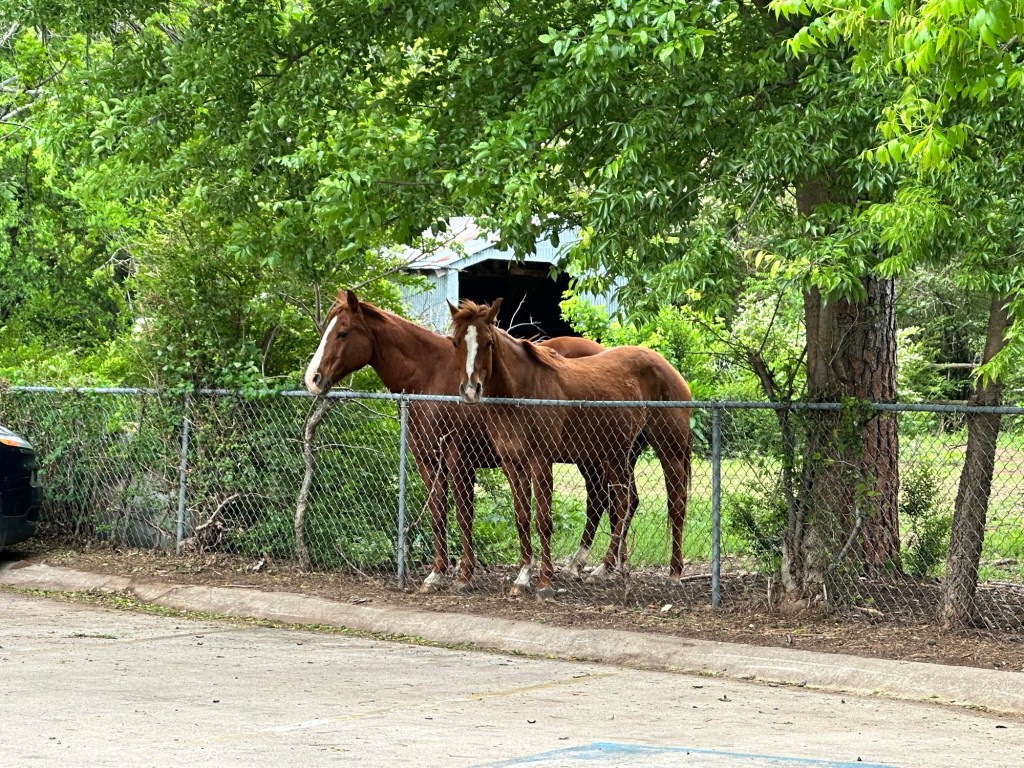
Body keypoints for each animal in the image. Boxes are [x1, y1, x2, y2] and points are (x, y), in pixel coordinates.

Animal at [303, 289, 634, 592]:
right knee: (608, 502)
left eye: (343, 332)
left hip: (599, 457)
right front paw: (436, 574)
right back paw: (590, 564)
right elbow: (438, 515)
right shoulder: (428, 461)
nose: (313, 379)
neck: (430, 376)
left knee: (612, 502)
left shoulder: (458, 459)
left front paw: (464, 575)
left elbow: (463, 516)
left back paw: (601, 567)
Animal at [449, 298, 692, 598]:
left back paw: (674, 573)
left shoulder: (540, 461)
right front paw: (522, 577)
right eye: (456, 342)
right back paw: (604, 569)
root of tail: (670, 369)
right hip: (617, 454)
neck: (522, 391)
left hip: (669, 451)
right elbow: (521, 517)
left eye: (488, 342)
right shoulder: (513, 464)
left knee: (675, 505)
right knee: (625, 503)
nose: (471, 390)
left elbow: (543, 519)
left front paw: (544, 582)